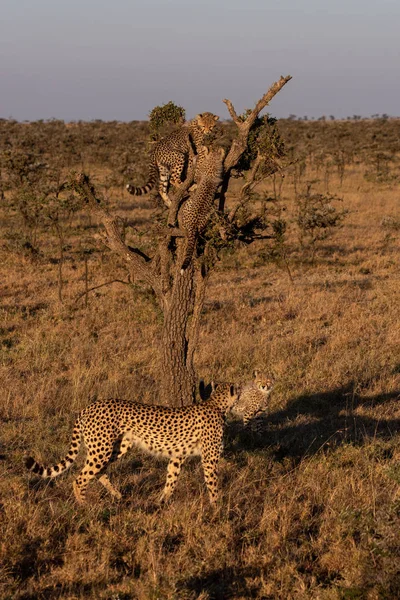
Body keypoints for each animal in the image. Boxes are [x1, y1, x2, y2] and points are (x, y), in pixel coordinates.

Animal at [25, 382, 238, 504]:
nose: (243, 388)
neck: (216, 404)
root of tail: (89, 406)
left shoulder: (177, 456)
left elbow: (171, 478)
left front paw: (161, 501)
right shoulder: (209, 459)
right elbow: (212, 483)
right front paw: (216, 508)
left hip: (116, 447)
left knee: (99, 472)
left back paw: (117, 495)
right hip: (101, 449)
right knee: (80, 478)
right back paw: (84, 506)